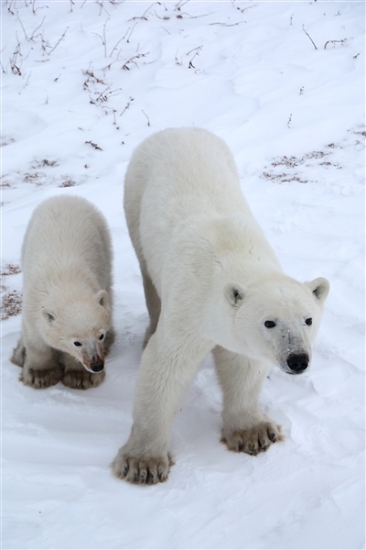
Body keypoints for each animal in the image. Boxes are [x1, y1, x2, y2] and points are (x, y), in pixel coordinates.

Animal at [113, 127, 328, 486]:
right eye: (270, 322)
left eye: (308, 320)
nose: (297, 359)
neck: (231, 255)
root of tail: (178, 129)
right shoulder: (188, 308)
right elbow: (165, 366)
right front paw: (142, 462)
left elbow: (243, 365)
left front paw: (254, 432)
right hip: (135, 193)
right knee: (149, 279)